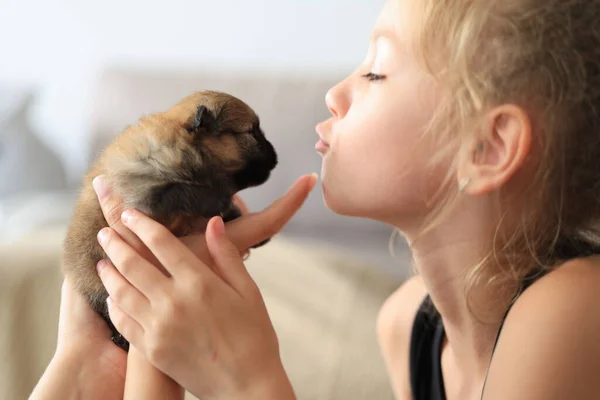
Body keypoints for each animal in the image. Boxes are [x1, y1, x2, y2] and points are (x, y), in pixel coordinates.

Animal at [62, 91, 278, 350]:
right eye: (253, 132)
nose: (276, 157)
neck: (185, 145)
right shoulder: (144, 197)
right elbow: (183, 191)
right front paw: (218, 200)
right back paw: (120, 337)